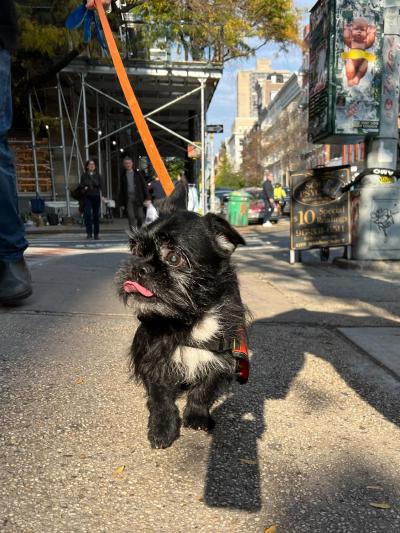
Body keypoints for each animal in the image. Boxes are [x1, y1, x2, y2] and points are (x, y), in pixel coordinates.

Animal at [115, 209, 247, 448]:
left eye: (174, 258)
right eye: (137, 251)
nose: (138, 267)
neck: (191, 318)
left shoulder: (220, 357)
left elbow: (203, 390)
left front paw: (196, 415)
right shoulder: (156, 360)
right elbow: (161, 400)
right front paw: (162, 428)